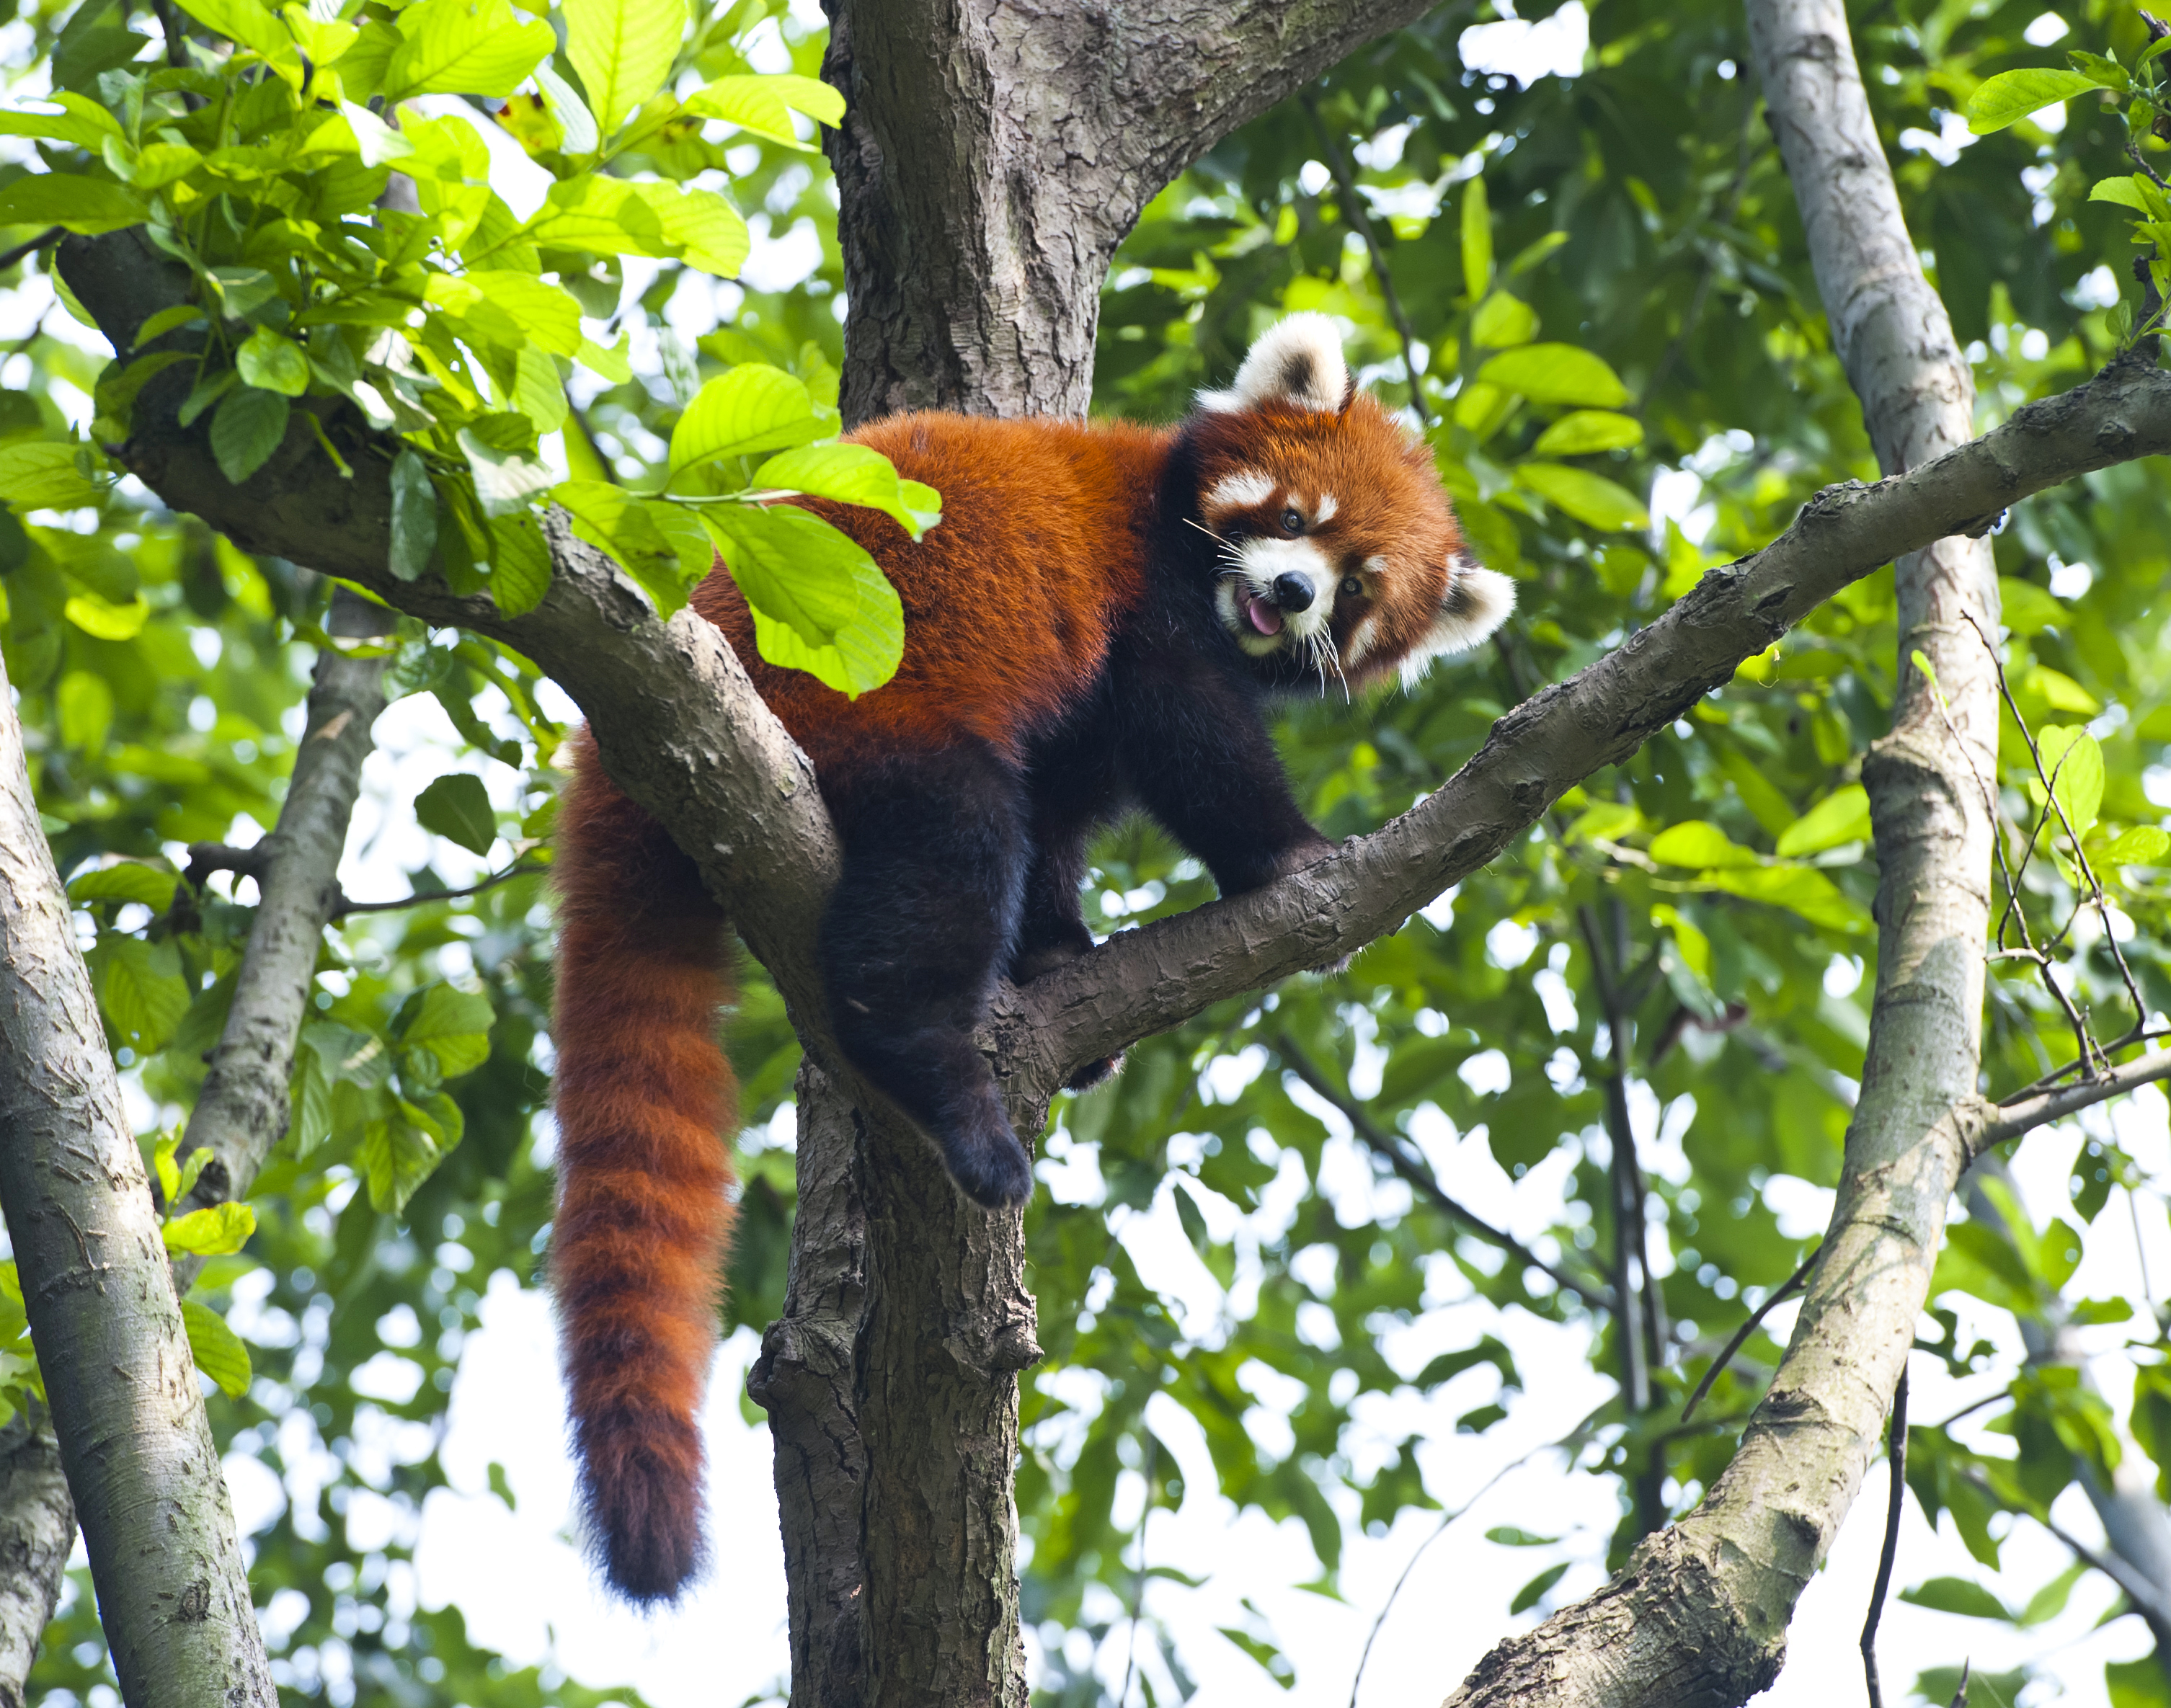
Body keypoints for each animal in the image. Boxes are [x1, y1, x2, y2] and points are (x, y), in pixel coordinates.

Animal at [551, 314, 1519, 1606]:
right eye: (1296, 516)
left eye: (1358, 586)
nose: (1290, 592)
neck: (1178, 532)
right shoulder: (1141, 606)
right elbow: (1190, 742)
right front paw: (1292, 854)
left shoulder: (1082, 704)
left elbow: (1066, 811)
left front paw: (1055, 954)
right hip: (868, 701)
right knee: (943, 866)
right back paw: (949, 1095)